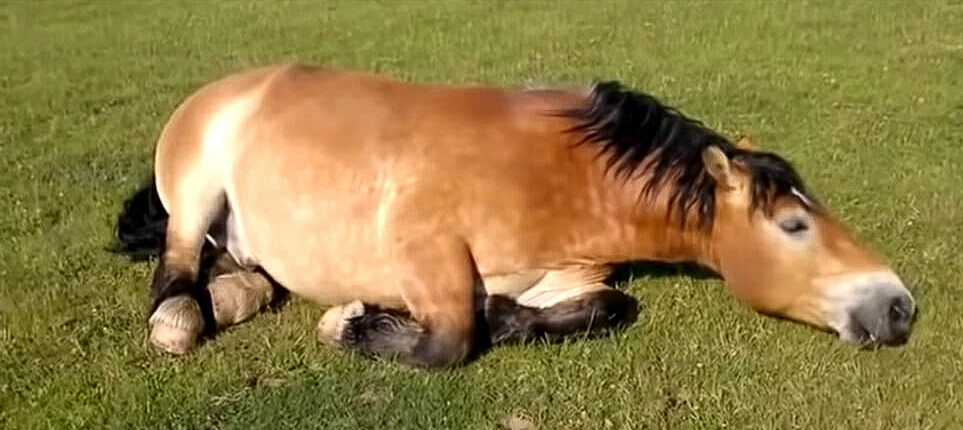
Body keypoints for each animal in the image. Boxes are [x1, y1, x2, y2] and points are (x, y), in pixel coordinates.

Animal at [112, 63, 916, 368]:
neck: (564, 175)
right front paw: (349, 322)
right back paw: (186, 316)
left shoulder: (568, 276)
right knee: (174, 273)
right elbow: (448, 343)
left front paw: (503, 314)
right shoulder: (425, 249)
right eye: (793, 226)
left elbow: (607, 309)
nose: (901, 306)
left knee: (234, 267)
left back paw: (230, 295)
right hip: (194, 194)